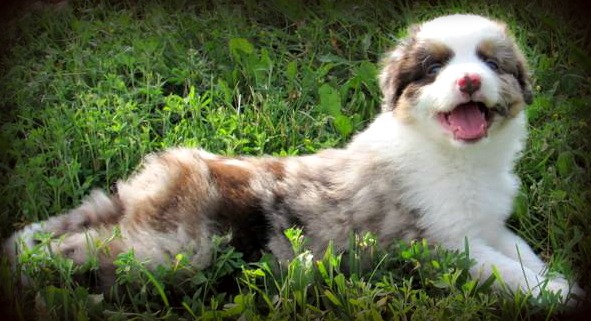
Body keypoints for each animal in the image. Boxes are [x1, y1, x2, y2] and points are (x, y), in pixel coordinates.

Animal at [2, 13, 584, 302]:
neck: (459, 157)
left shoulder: (486, 225)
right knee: (89, 250)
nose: (467, 81)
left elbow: (523, 253)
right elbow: (507, 273)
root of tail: (155, 182)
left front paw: (560, 279)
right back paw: (33, 264)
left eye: (491, 62)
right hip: (171, 250)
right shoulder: (440, 242)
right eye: (434, 67)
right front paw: (556, 294)